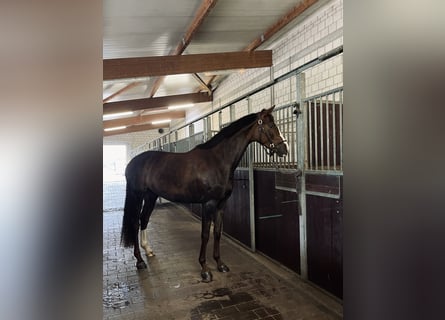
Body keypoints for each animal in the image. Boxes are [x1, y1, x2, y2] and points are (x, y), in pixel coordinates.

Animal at [120, 106, 288, 282]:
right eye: (271, 126)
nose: (285, 149)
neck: (218, 161)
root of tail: (132, 162)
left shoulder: (221, 204)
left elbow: (217, 232)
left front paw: (220, 264)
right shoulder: (208, 204)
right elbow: (205, 234)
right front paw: (205, 269)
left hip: (150, 196)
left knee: (144, 219)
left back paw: (148, 250)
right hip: (137, 195)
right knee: (135, 223)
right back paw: (139, 261)